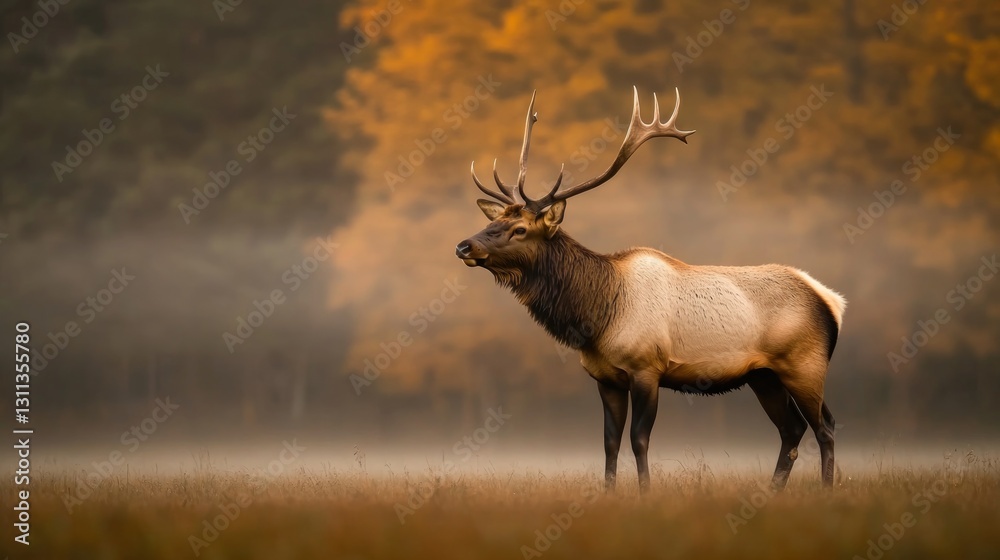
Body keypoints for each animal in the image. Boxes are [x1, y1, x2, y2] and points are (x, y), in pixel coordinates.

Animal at [455, 87, 846, 492]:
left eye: (520, 229)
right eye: (496, 220)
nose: (464, 246)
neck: (597, 316)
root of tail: (831, 301)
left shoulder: (647, 368)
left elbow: (638, 439)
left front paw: (645, 493)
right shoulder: (605, 378)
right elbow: (610, 442)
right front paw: (609, 493)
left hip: (805, 364)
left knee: (826, 426)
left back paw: (826, 489)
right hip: (763, 375)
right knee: (793, 428)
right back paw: (773, 491)